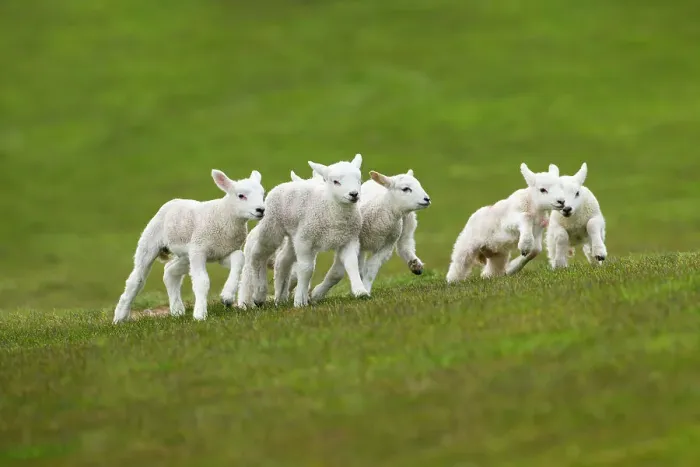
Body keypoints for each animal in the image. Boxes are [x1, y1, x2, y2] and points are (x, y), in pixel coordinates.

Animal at [112, 169, 266, 323]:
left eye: (262, 194)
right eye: (241, 196)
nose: (261, 210)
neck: (224, 215)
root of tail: (173, 201)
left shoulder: (223, 252)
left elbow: (239, 259)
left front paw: (227, 296)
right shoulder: (199, 250)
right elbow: (202, 281)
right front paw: (200, 315)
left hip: (186, 254)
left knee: (170, 271)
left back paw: (177, 310)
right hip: (150, 242)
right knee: (136, 279)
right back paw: (120, 317)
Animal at [237, 154, 369, 308]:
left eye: (359, 180)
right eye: (335, 182)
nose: (354, 194)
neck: (331, 210)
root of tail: (284, 184)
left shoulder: (348, 240)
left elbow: (350, 265)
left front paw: (361, 292)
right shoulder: (306, 240)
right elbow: (306, 269)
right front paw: (300, 300)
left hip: (294, 235)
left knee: (282, 259)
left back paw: (280, 296)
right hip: (272, 227)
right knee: (258, 254)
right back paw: (259, 294)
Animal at [311, 168, 431, 300]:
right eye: (405, 189)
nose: (427, 199)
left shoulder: (387, 245)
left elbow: (371, 268)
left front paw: (366, 288)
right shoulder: (350, 240)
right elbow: (337, 272)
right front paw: (316, 294)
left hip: (408, 223)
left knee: (404, 245)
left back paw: (415, 264)